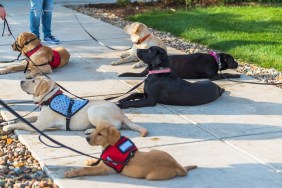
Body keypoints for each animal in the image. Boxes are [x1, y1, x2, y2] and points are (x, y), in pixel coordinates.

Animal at [1, 76, 148, 137]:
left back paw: (91, 131)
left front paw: (8, 126)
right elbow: (27, 118)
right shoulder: (38, 119)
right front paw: (8, 121)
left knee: (114, 127)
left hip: (93, 111)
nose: (20, 81)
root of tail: (122, 113)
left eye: (33, 81)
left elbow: (22, 124)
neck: (50, 98)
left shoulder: (39, 126)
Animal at [64, 124, 197, 180]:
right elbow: (97, 159)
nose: (87, 138)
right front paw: (90, 160)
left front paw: (72, 173)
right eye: (94, 130)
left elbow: (85, 169)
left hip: (150, 177)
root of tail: (176, 165)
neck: (110, 145)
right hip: (156, 150)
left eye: (100, 134)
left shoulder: (104, 168)